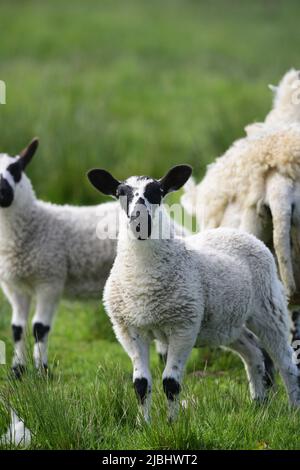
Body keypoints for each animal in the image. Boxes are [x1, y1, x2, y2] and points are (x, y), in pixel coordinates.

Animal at [87, 164, 300, 422]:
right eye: (120, 192)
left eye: (157, 191)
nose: (140, 221)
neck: (143, 281)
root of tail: (237, 232)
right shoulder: (129, 329)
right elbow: (141, 384)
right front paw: (144, 424)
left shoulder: (183, 327)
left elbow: (170, 382)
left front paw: (172, 423)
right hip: (224, 323)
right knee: (253, 352)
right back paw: (259, 404)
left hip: (268, 306)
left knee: (286, 362)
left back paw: (293, 408)